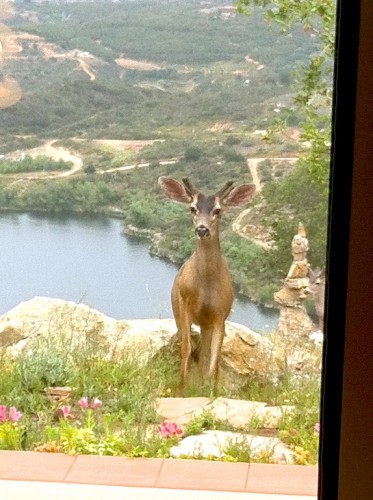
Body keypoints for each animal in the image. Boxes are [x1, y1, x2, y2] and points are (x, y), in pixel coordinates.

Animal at [157, 176, 256, 394]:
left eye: (218, 210)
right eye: (192, 208)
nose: (202, 229)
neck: (205, 289)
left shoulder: (221, 314)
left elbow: (214, 357)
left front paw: (211, 391)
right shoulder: (184, 304)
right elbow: (186, 348)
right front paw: (182, 389)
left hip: (207, 323)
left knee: (204, 352)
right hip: (178, 312)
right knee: (191, 346)